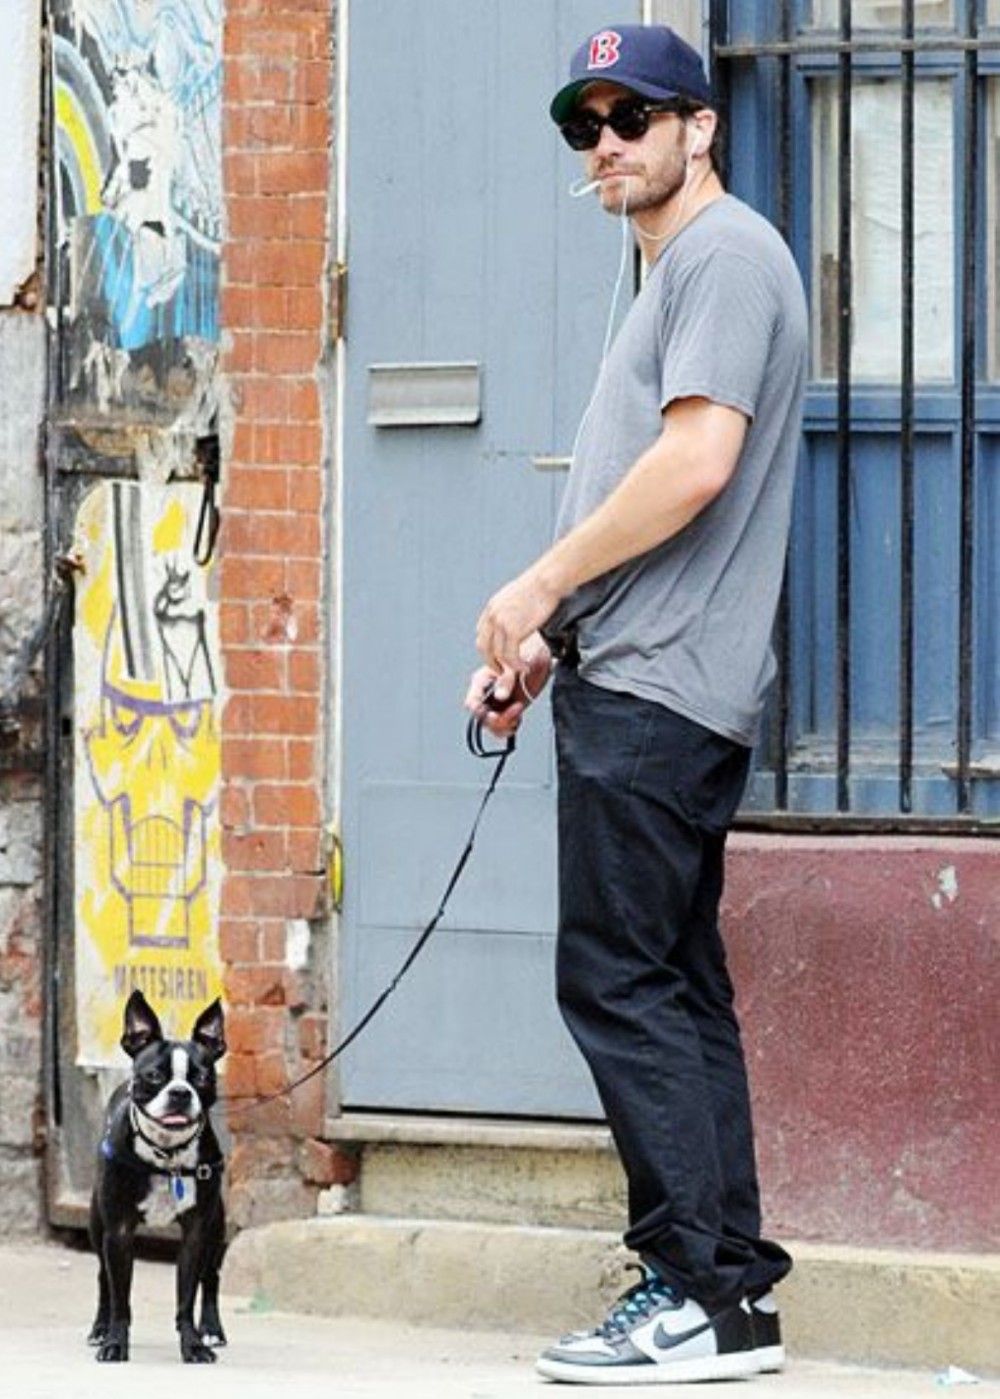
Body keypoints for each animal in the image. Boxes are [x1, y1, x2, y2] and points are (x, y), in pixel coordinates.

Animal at [87, 990, 229, 1359]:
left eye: (202, 1078)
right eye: (154, 1076)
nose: (180, 1092)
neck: (167, 1156)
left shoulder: (196, 1233)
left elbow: (186, 1297)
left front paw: (193, 1344)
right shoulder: (118, 1231)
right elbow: (120, 1298)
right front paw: (114, 1342)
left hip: (217, 1227)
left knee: (211, 1278)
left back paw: (212, 1329)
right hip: (97, 1224)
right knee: (103, 1279)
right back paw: (98, 1329)